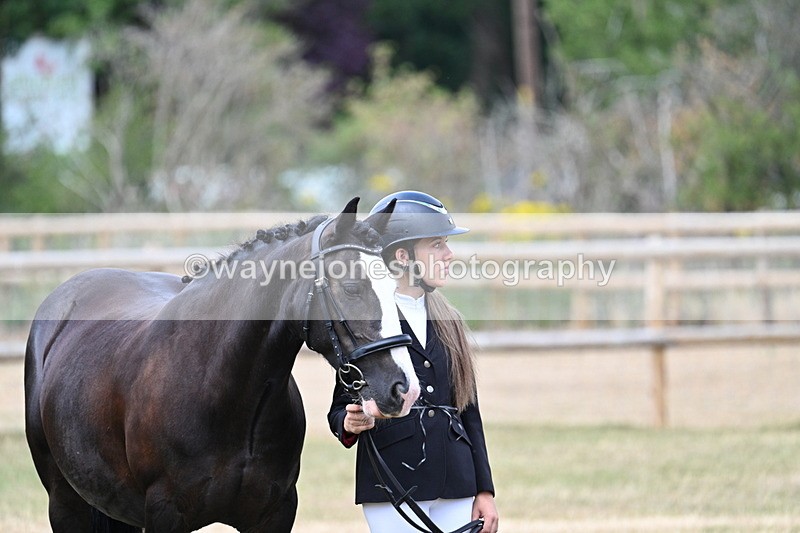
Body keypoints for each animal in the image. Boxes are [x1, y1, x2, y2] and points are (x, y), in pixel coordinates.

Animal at [24, 197, 421, 532]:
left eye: (393, 287)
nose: (405, 389)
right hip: (65, 502)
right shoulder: (165, 514)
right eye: (352, 287)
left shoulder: (275, 515)